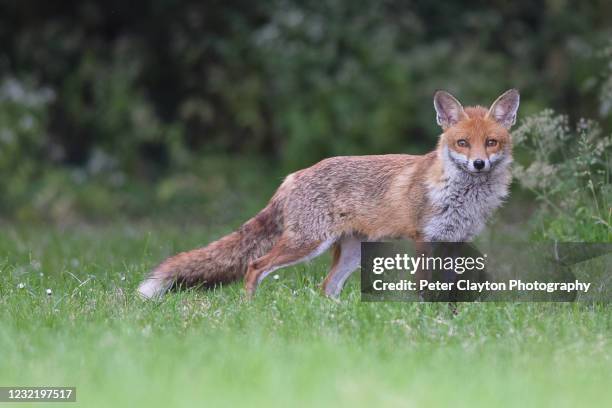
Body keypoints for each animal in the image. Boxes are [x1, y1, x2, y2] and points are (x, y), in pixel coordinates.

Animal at [140, 89, 520, 300]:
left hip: (350, 252)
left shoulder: (455, 240)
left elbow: (453, 288)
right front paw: (428, 319)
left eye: (491, 142)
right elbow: (426, 288)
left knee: (327, 287)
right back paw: (250, 311)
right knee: (254, 266)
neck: (463, 197)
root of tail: (293, 176)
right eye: (462, 142)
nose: (479, 164)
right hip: (308, 244)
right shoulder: (424, 239)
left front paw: (450, 317)